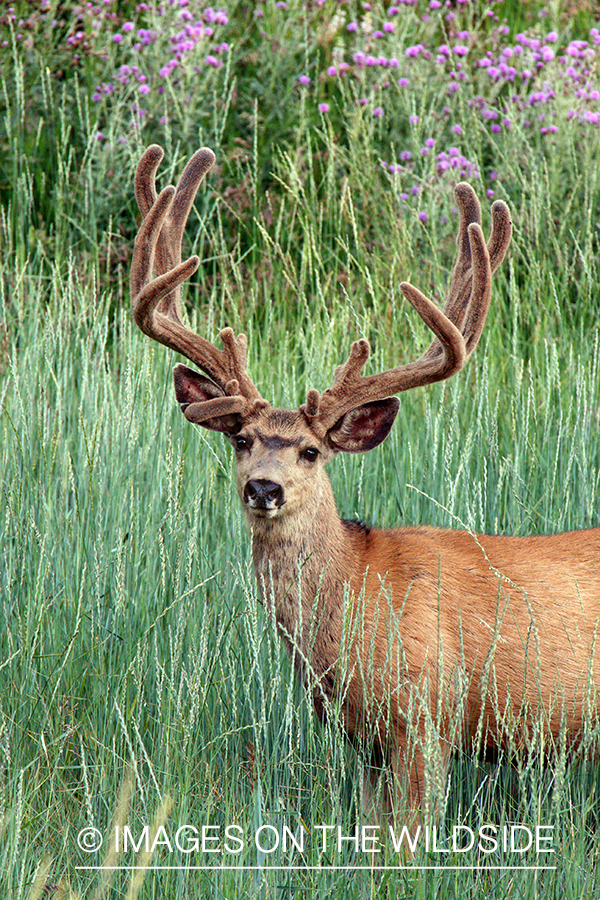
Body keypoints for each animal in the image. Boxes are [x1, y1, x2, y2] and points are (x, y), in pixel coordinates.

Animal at [130, 144, 600, 824]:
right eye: (242, 440)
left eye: (311, 451)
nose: (264, 489)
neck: (356, 591)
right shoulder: (365, 740)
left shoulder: (425, 717)